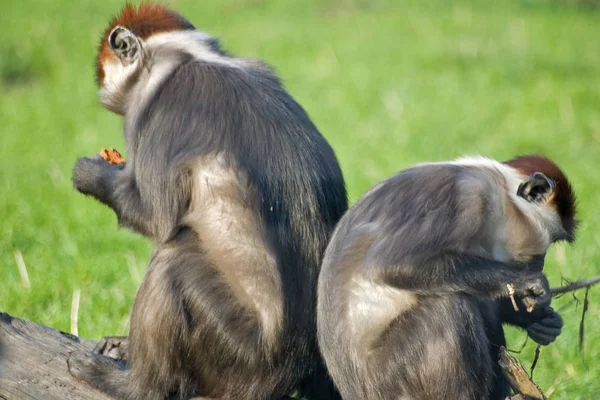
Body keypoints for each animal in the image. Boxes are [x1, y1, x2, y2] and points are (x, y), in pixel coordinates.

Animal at [67, 3, 346, 400]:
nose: (103, 86)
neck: (186, 58)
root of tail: (297, 366)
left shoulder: (159, 111)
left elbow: (153, 217)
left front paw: (90, 172)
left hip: (238, 355)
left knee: (175, 261)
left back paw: (134, 385)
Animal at [318, 155, 576, 400]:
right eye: (552, 240)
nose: (541, 262)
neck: (499, 193)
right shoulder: (466, 197)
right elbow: (391, 263)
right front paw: (529, 284)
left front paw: (538, 320)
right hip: (391, 379)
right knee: (448, 305)